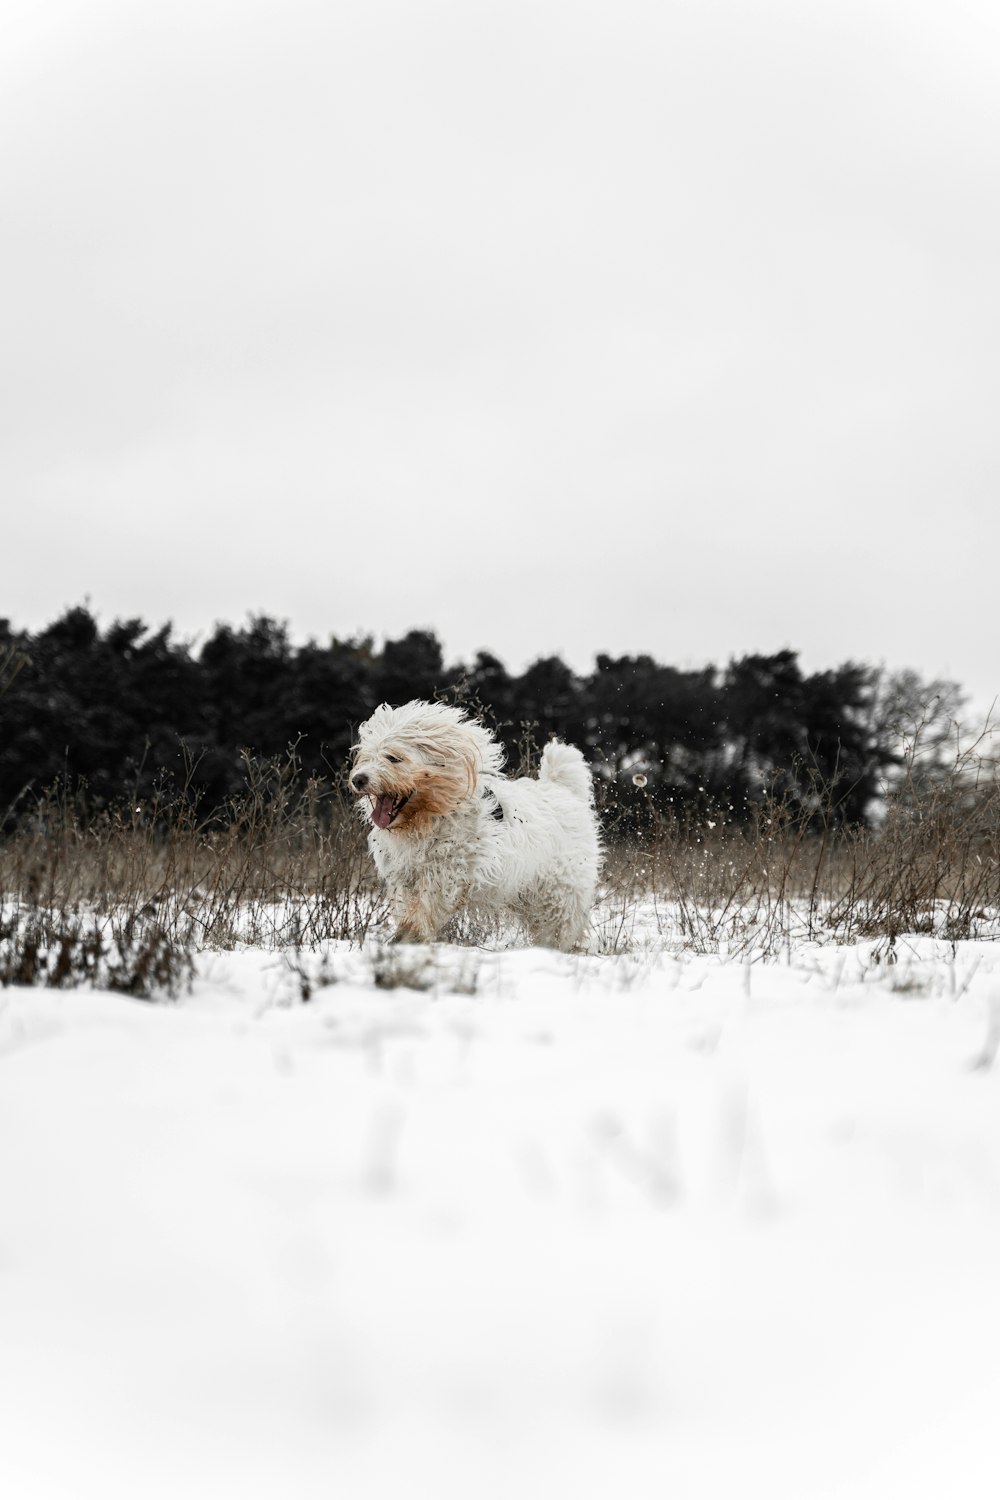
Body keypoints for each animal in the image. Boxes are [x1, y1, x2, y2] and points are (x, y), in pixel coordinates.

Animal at [352, 699, 602, 948]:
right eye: (365, 757)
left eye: (393, 758)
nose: (358, 779)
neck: (428, 817)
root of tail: (565, 791)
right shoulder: (402, 873)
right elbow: (406, 903)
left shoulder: (446, 871)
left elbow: (427, 904)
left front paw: (410, 935)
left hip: (560, 894)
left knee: (558, 928)